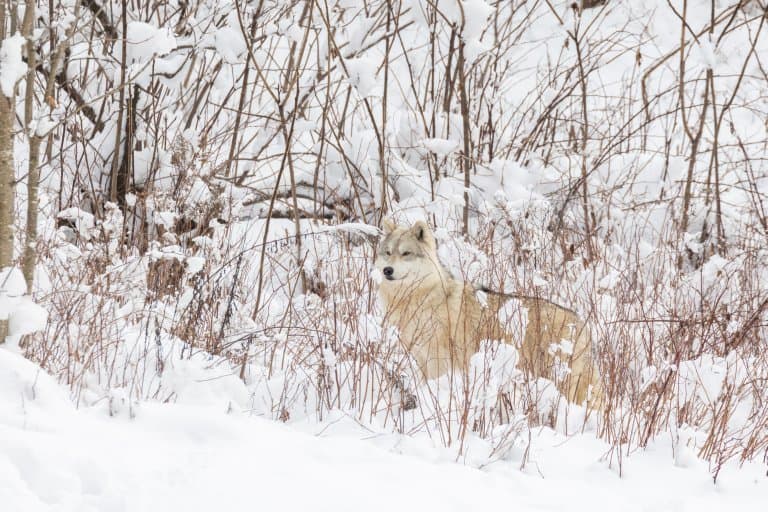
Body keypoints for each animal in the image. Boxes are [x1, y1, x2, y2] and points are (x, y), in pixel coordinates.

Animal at [376, 218, 604, 406]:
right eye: (388, 253)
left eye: (406, 254)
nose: (387, 270)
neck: (418, 298)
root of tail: (582, 323)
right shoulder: (421, 358)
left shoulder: (437, 360)